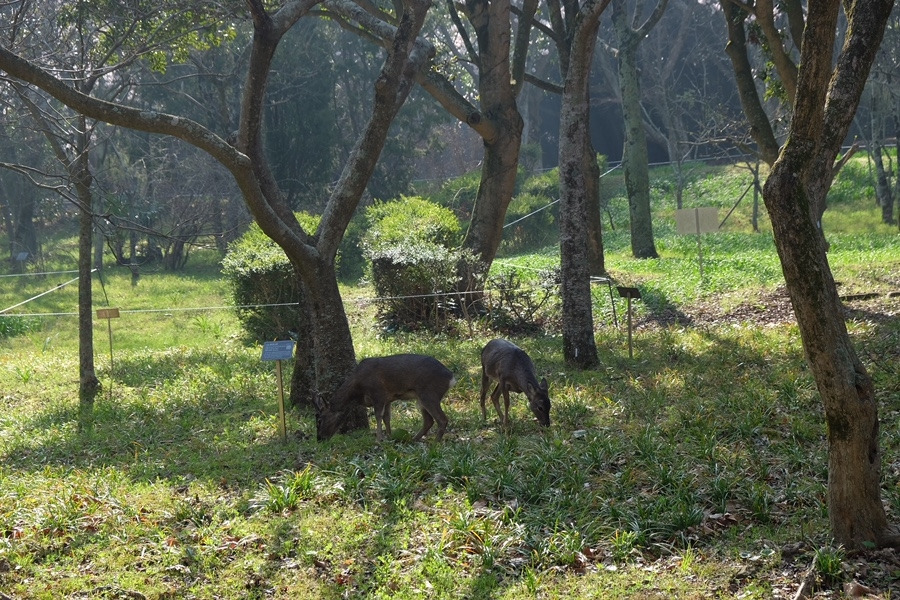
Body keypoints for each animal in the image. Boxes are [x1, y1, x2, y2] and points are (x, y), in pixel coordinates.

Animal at [316, 354, 455, 442]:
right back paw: (413, 439)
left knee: (442, 419)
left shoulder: (378, 393)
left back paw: (435, 443)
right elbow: (386, 418)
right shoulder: (388, 399)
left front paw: (379, 439)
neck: (357, 389)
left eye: (320, 420)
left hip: (429, 393)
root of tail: (451, 377)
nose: (319, 439)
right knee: (429, 421)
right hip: (421, 398)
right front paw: (389, 436)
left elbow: (378, 416)